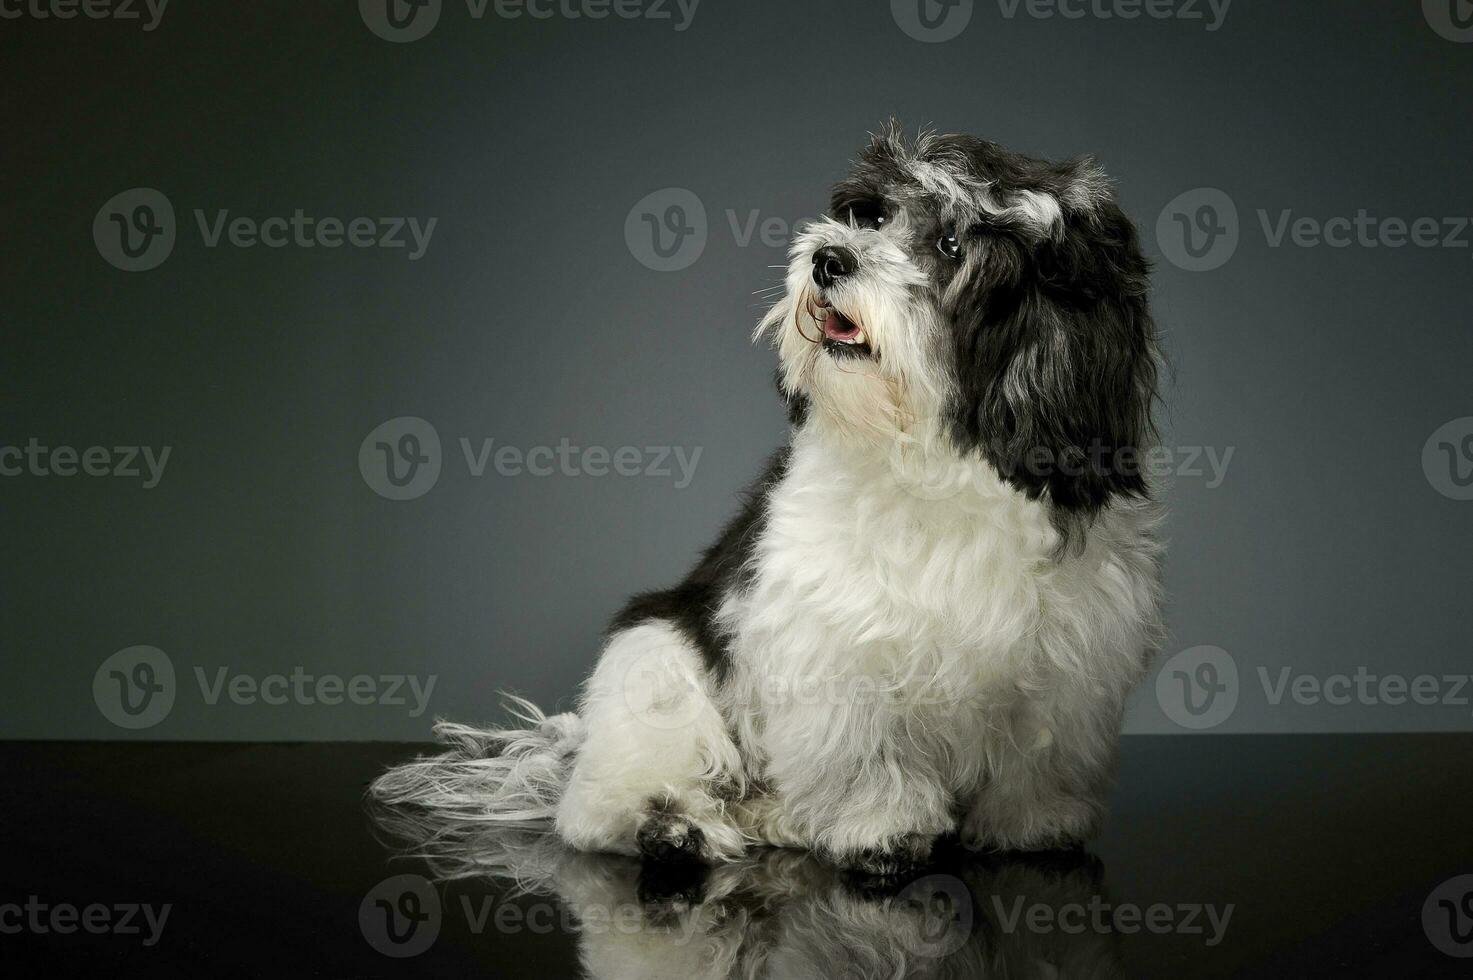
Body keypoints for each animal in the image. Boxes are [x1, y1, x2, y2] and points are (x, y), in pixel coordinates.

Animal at [374, 124, 1166, 878]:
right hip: (655, 659)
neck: (931, 458)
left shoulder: (1071, 654)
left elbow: (1042, 757)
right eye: (871, 215)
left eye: (950, 243)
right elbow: (861, 753)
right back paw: (673, 826)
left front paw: (1034, 825)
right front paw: (880, 829)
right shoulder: (833, 646)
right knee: (607, 801)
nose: (829, 259)